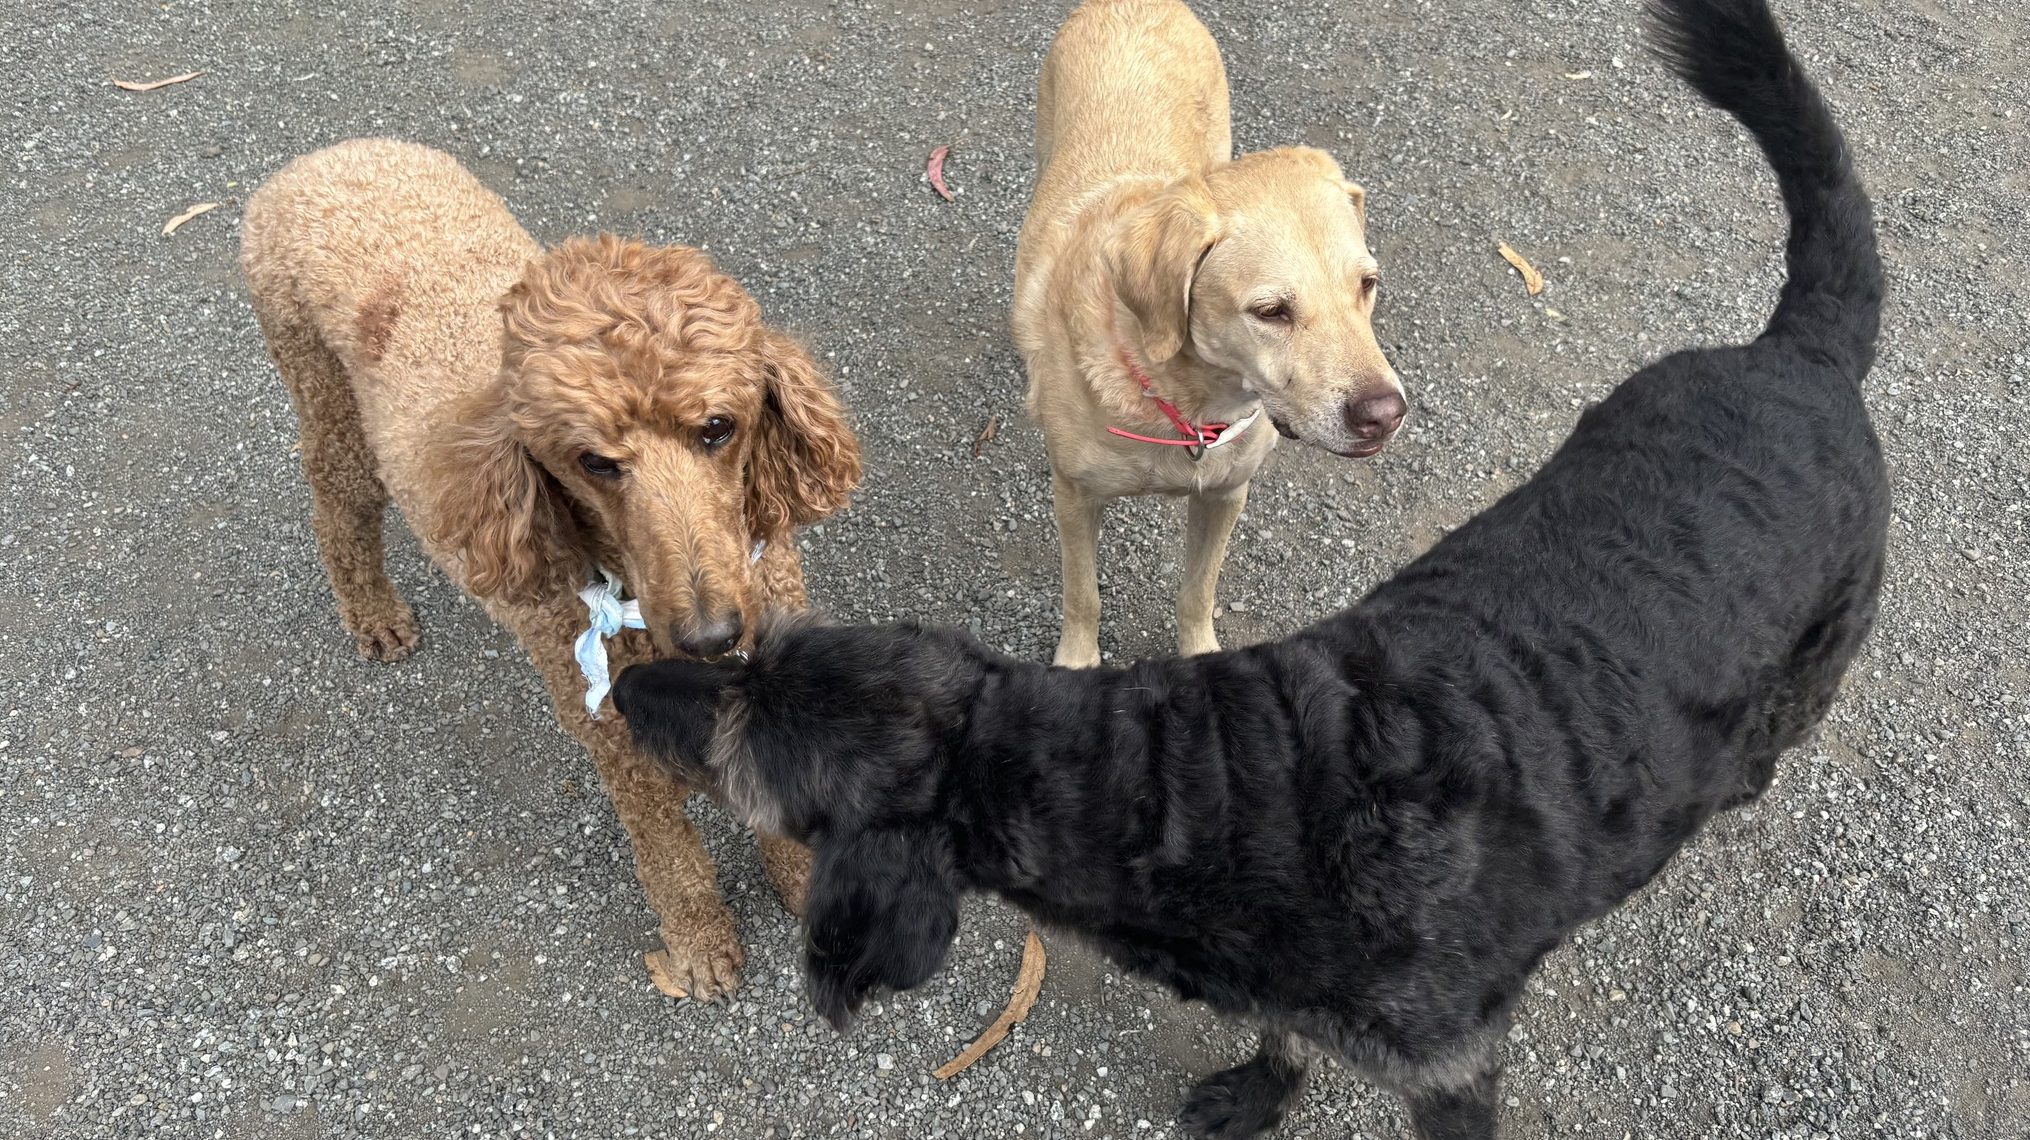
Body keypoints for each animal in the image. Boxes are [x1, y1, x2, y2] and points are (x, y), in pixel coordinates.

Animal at [240, 139, 861, 1001]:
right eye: (593, 462)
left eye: (718, 428)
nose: (711, 635)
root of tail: (325, 157)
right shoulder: (616, 741)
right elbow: (671, 860)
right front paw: (700, 947)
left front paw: (808, 893)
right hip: (324, 396)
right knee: (339, 509)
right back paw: (373, 613)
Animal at [1014, 0, 1407, 667]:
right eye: (1271, 311)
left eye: (1367, 284)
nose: (1385, 415)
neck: (1182, 401)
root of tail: (1135, 5)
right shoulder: (1074, 495)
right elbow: (1083, 595)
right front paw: (1076, 661)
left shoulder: (1225, 493)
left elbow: (1197, 591)